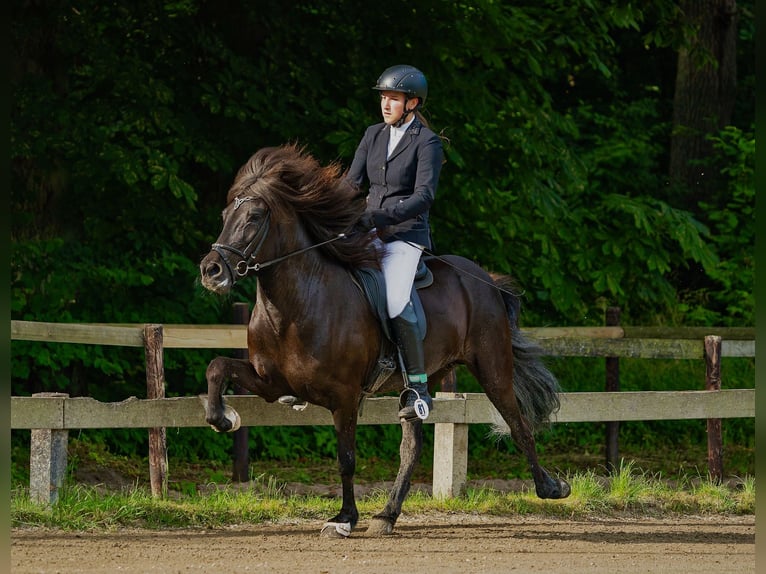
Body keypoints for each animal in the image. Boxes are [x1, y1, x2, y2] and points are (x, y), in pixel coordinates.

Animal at [198, 144, 568, 540]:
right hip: (424, 381)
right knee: (413, 446)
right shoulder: (271, 383)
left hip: (493, 368)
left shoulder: (344, 396)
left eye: (253, 217)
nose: (211, 271)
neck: (298, 303)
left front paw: (344, 518)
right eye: (225, 215)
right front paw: (224, 418)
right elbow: (217, 367)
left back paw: (551, 488)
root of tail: (485, 279)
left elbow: (346, 459)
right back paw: (387, 515)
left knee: (519, 425)